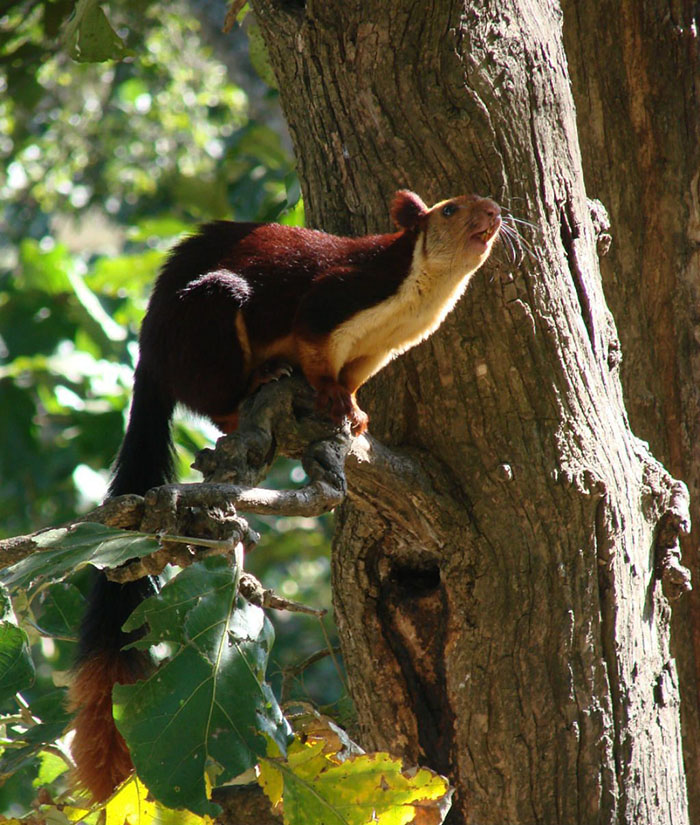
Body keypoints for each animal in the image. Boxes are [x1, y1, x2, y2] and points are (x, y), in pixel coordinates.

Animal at [68, 189, 501, 801]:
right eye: (449, 210)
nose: (494, 212)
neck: (418, 295)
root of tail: (150, 353)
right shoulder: (336, 300)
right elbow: (318, 353)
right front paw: (331, 398)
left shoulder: (381, 349)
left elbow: (354, 377)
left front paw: (356, 412)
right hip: (208, 317)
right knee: (214, 395)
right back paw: (253, 388)